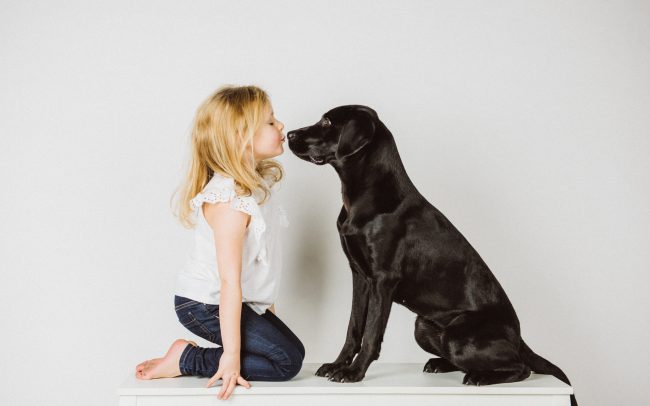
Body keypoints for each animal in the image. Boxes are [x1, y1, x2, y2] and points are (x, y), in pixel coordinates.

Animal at [286, 105, 576, 406]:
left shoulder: (383, 280)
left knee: (521, 367)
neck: (364, 197)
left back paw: (481, 377)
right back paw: (439, 364)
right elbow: (353, 329)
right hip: (423, 326)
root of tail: (520, 338)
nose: (288, 134)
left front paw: (354, 372)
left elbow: (371, 334)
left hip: (460, 337)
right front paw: (337, 365)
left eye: (326, 122)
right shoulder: (360, 276)